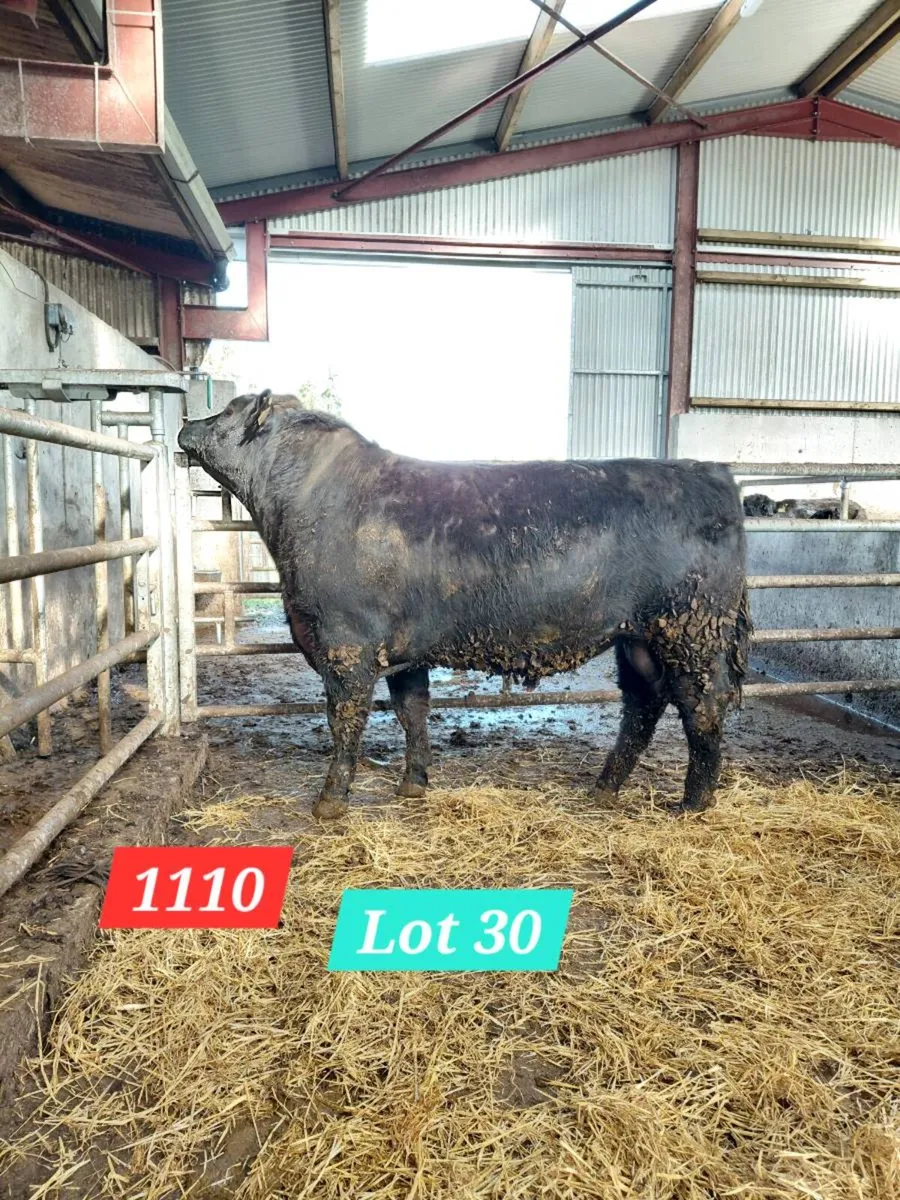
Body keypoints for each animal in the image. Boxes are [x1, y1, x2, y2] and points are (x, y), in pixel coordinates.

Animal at [179, 391, 751, 820]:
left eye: (227, 410)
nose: (185, 423)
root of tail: (714, 475)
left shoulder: (346, 645)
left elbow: (345, 721)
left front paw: (329, 801)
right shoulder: (405, 652)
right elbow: (412, 712)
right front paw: (413, 784)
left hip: (690, 630)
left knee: (703, 706)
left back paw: (693, 803)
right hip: (636, 639)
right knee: (644, 705)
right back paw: (605, 787)